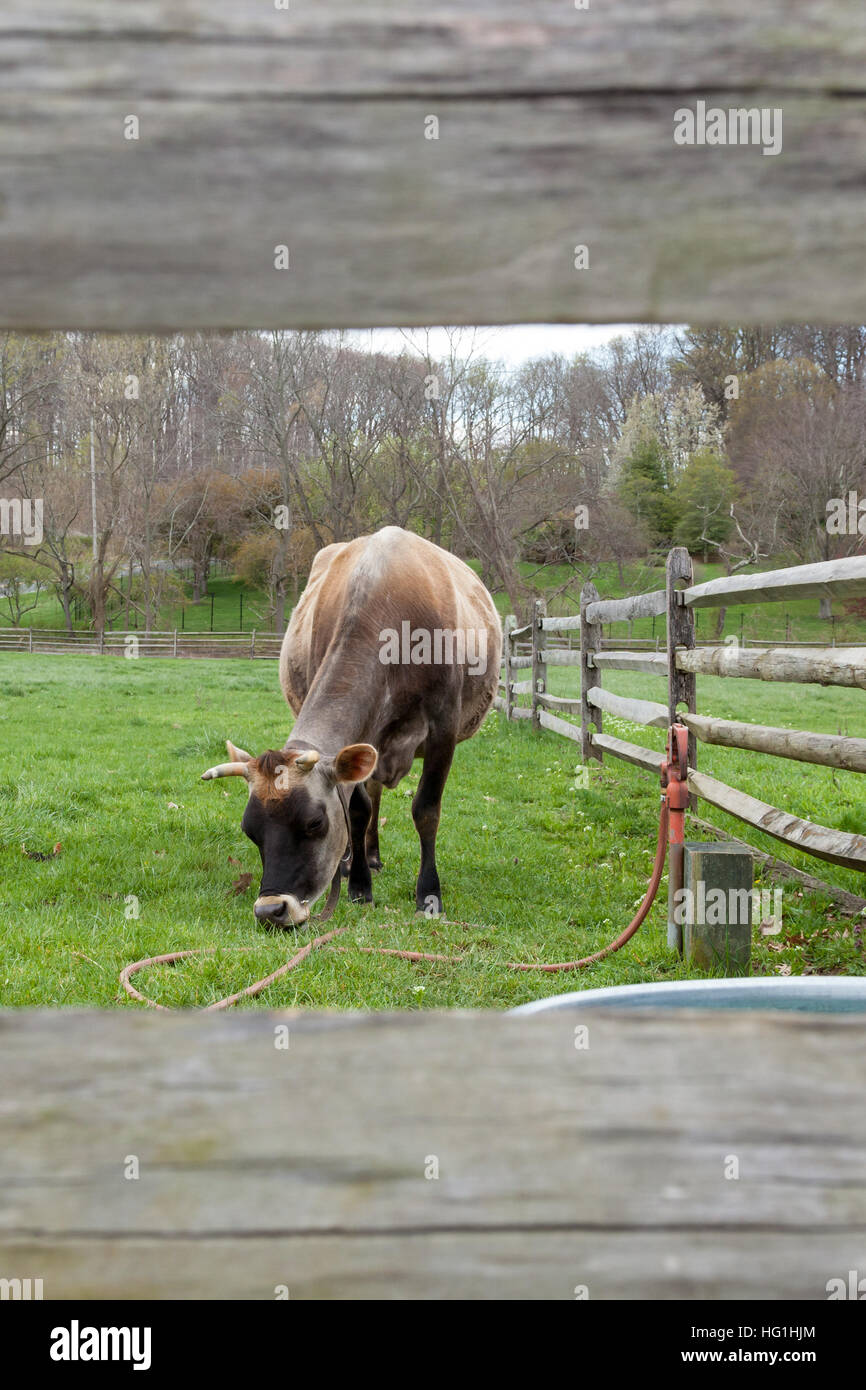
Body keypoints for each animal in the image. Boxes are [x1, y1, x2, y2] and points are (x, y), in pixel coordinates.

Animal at [202, 526, 502, 928]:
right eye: (250, 831)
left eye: (315, 823)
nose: (270, 910)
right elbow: (358, 811)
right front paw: (359, 885)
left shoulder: (444, 729)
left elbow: (426, 810)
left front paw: (429, 894)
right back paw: (359, 860)